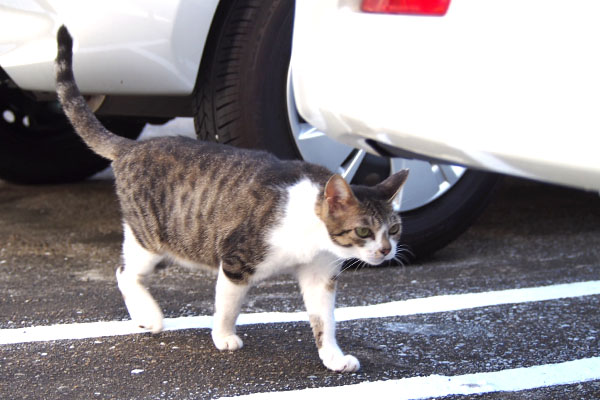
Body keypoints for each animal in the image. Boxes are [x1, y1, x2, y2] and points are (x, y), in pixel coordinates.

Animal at [55, 26, 408, 374]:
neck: (312, 232)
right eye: (363, 231)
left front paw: (333, 356)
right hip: (152, 239)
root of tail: (131, 147)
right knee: (125, 273)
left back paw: (143, 317)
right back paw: (151, 316)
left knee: (125, 269)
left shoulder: (320, 274)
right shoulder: (237, 260)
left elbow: (325, 319)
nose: (386, 251)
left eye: (394, 230)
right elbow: (228, 305)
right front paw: (223, 336)